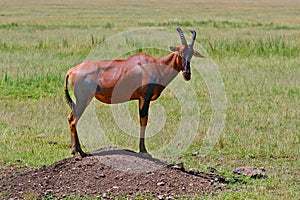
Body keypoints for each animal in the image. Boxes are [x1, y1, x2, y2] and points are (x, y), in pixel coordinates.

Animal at [63, 27, 204, 157]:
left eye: (191, 54)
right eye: (180, 52)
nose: (187, 74)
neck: (154, 64)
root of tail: (71, 71)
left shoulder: (141, 99)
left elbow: (143, 121)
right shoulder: (144, 98)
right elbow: (143, 120)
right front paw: (143, 150)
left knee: (70, 118)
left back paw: (76, 151)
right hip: (83, 99)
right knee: (74, 120)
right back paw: (79, 152)